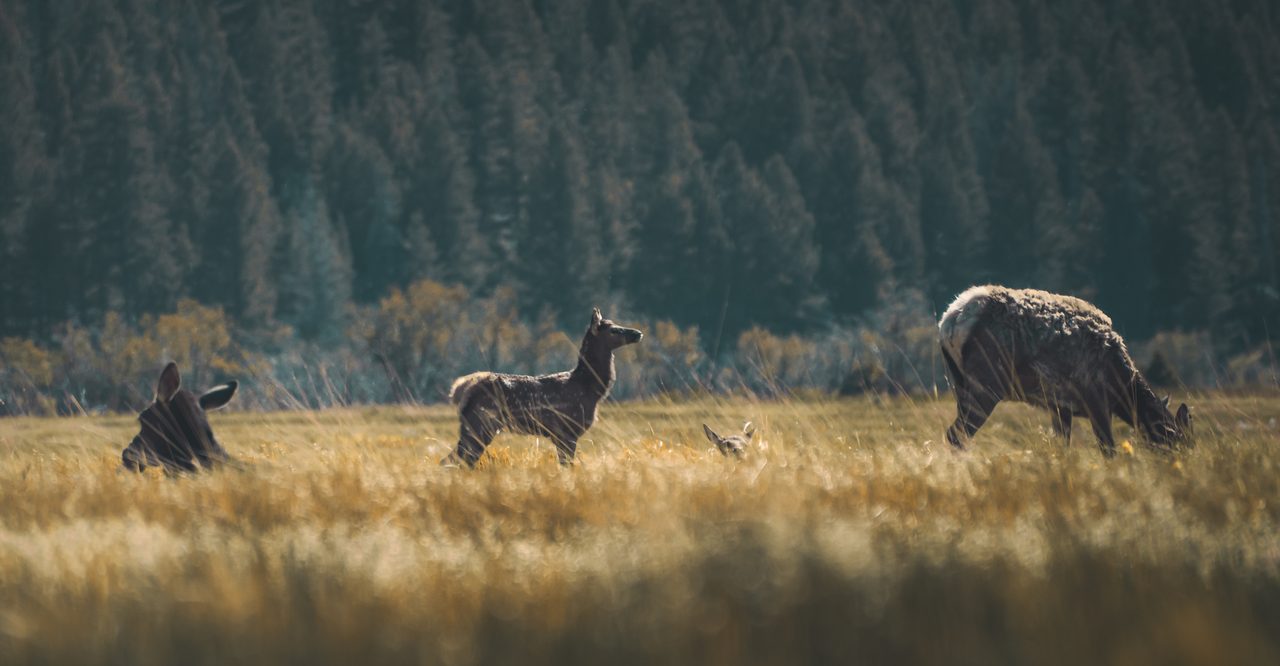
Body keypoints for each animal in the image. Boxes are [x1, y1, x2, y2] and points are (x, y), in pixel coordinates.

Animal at [441, 308, 643, 467]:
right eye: (614, 330)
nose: (638, 333)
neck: (590, 389)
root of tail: (461, 390)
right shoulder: (567, 429)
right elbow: (567, 466)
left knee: (456, 459)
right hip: (482, 422)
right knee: (459, 459)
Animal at [939, 285, 1192, 457]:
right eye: (1177, 440)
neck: (1121, 387)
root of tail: (950, 321)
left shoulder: (1059, 406)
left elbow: (1062, 446)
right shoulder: (1096, 398)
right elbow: (1108, 449)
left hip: (958, 383)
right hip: (987, 384)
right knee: (956, 434)